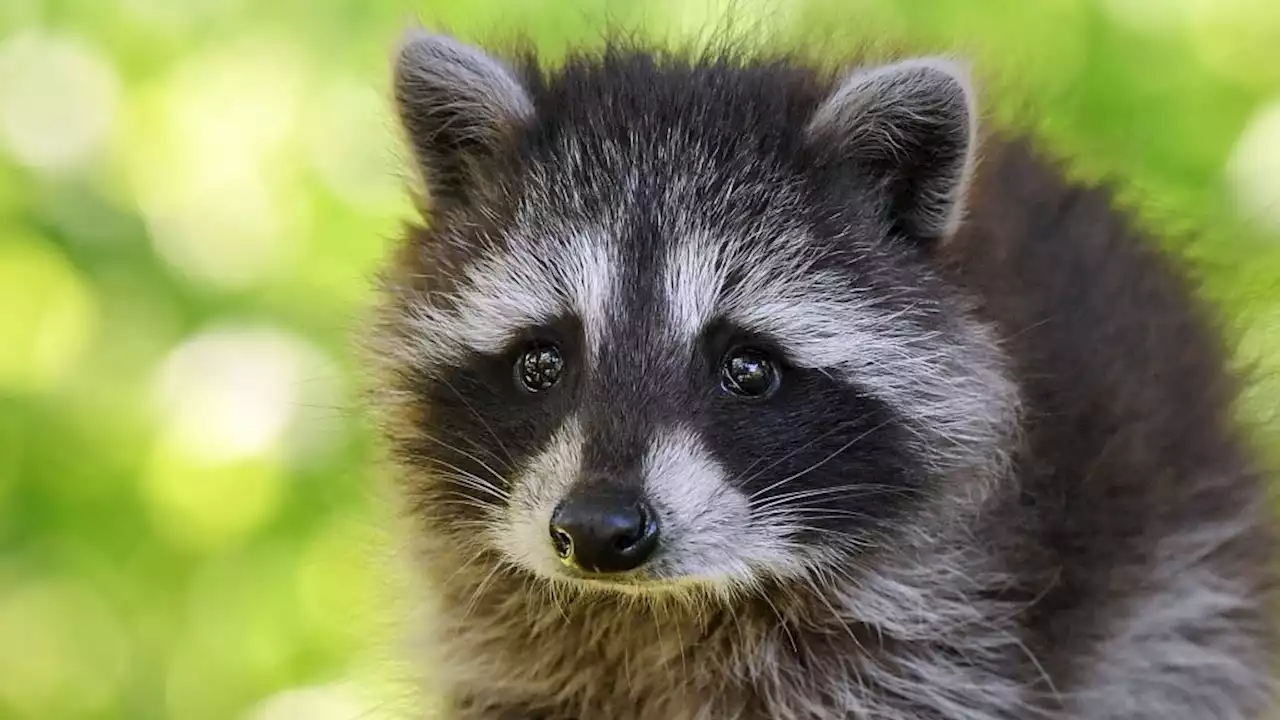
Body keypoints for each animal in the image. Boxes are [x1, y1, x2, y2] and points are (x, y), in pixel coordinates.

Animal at [363, 25, 1280, 712]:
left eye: (748, 369)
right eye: (542, 361)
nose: (596, 530)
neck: (660, 611)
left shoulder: (940, 637)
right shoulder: (507, 654)